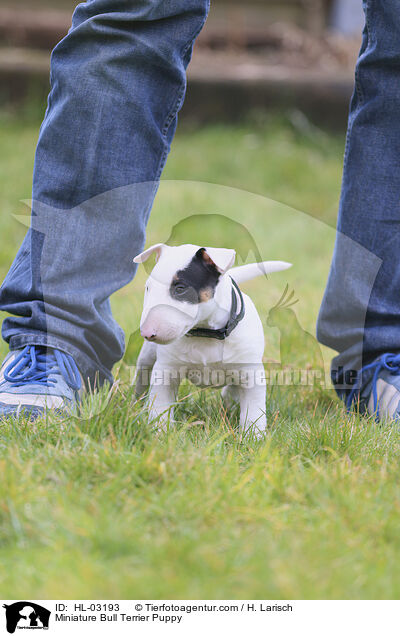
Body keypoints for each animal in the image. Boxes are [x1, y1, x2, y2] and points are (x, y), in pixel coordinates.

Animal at [134, 242, 290, 432]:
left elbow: (253, 411)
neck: (205, 333)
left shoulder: (250, 373)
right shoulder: (166, 371)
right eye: (148, 288)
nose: (147, 333)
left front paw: (253, 435)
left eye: (180, 288)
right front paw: (160, 432)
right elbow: (160, 406)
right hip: (147, 358)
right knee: (142, 378)